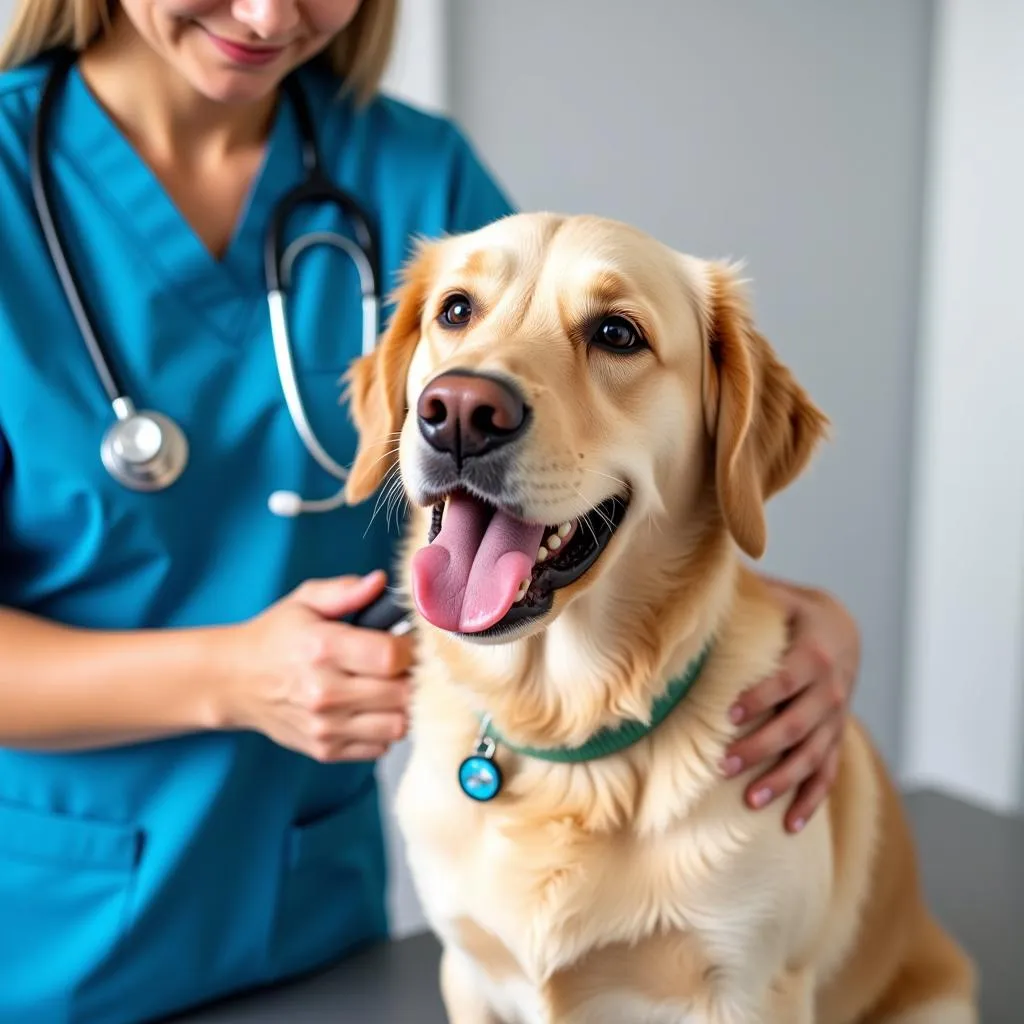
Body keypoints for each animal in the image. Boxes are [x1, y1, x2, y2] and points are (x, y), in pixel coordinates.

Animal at [342, 211, 974, 1019]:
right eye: (456, 311)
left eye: (617, 333)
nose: (457, 412)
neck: (568, 733)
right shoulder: (469, 970)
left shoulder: (750, 985)